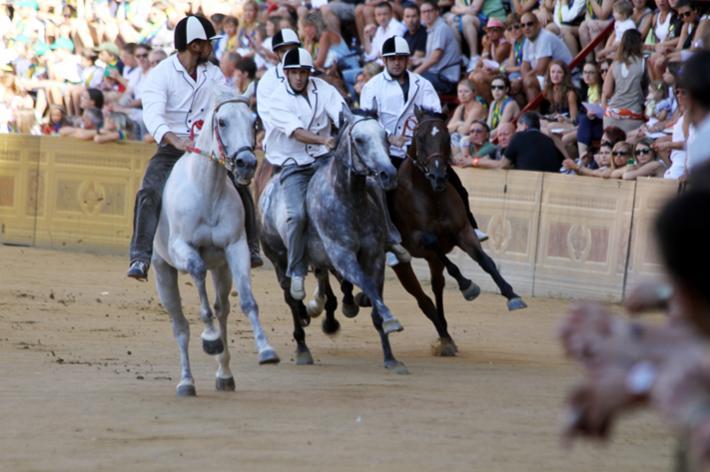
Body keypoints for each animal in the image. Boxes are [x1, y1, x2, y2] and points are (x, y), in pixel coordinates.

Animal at [153, 87, 278, 394]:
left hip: (221, 270)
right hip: (163, 272)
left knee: (223, 310)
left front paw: (265, 349)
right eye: (221, 121)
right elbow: (197, 277)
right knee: (180, 326)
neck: (206, 191)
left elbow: (247, 300)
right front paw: (209, 338)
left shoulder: (235, 249)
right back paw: (186, 381)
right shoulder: (182, 249)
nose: (247, 164)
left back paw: (224, 375)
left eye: (254, 122)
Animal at [260, 106, 406, 372]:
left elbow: (375, 298)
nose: (388, 174)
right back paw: (302, 347)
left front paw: (390, 358)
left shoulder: (375, 257)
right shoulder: (343, 257)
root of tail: (267, 191)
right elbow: (367, 285)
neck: (349, 201)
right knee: (291, 299)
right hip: (279, 261)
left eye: (385, 136)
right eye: (359, 139)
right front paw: (391, 320)